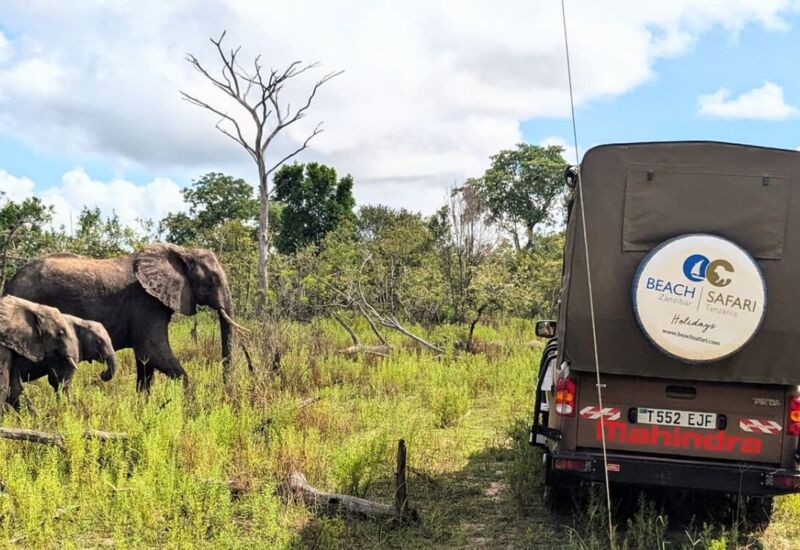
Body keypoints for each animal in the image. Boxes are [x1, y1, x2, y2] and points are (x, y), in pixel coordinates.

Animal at [5, 243, 245, 391]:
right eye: (212, 280)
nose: (227, 391)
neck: (183, 252)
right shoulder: (145, 301)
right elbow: (152, 350)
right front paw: (189, 405)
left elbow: (145, 362)